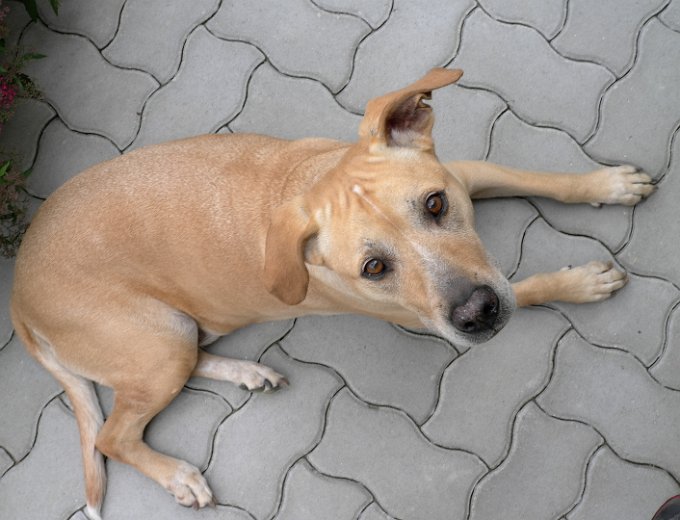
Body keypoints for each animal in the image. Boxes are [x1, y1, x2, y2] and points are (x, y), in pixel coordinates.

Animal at [10, 68, 654, 519]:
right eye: (373, 268)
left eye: (435, 204)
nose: (477, 313)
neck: (309, 180)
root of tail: (16, 291)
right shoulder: (424, 319)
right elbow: (530, 286)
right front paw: (579, 282)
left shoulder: (466, 174)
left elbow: (543, 179)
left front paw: (606, 185)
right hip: (156, 341)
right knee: (114, 435)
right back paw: (177, 474)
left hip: (174, 337)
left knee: (185, 368)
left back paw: (246, 372)